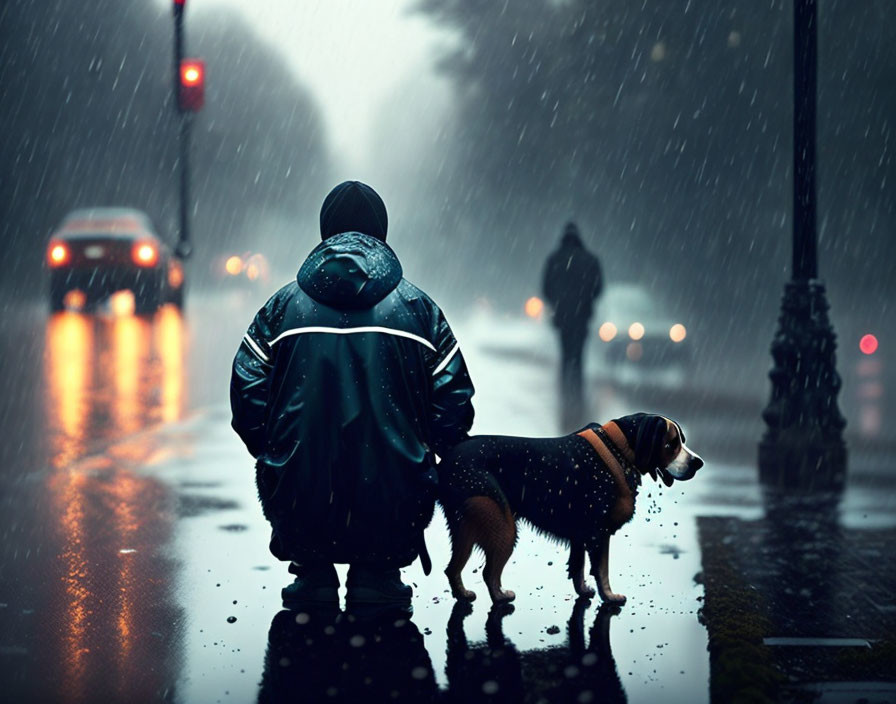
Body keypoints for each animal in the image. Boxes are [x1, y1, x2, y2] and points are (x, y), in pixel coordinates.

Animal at [438, 412, 704, 604]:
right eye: (671, 444)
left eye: (682, 441)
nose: (698, 463)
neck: (618, 448)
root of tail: (447, 460)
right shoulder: (598, 533)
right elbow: (601, 569)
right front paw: (609, 597)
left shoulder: (581, 534)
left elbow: (578, 567)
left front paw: (584, 592)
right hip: (502, 525)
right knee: (489, 572)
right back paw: (501, 598)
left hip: (465, 526)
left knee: (452, 568)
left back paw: (463, 595)